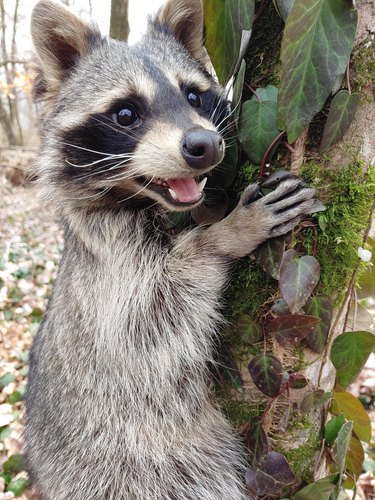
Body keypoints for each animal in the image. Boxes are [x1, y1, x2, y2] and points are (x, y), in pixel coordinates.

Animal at [25, 0, 316, 500]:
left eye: (194, 97)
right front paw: (225, 234)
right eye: (126, 114)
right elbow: (150, 311)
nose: (206, 145)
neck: (144, 202)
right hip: (138, 469)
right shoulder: (110, 265)